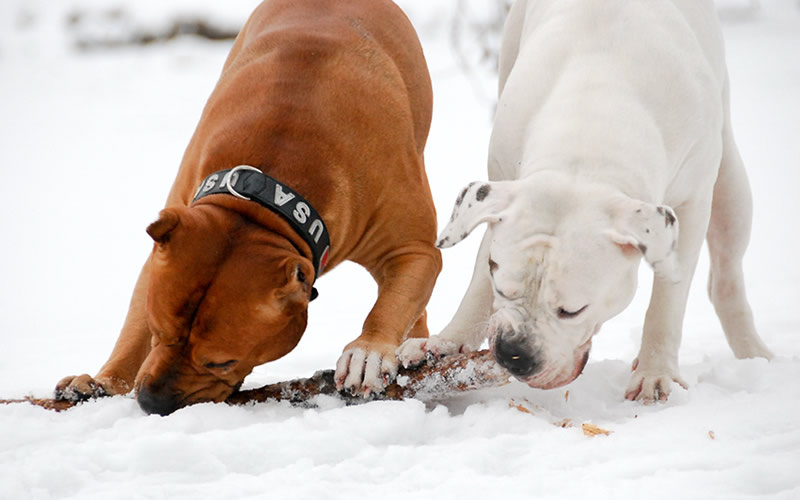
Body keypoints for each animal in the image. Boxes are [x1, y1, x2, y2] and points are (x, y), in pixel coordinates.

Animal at [54, 0, 444, 414]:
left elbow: (391, 303)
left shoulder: (413, 251)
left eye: (222, 361)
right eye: (158, 330)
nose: (151, 401)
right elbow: (133, 332)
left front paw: (368, 350)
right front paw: (105, 381)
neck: (263, 202)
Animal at [400, 0, 776, 402]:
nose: (515, 353)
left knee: (725, 278)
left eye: (572, 311)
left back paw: (755, 355)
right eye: (502, 287)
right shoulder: (502, 188)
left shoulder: (690, 208)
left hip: (730, 183)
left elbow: (668, 297)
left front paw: (655, 372)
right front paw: (448, 343)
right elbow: (477, 286)